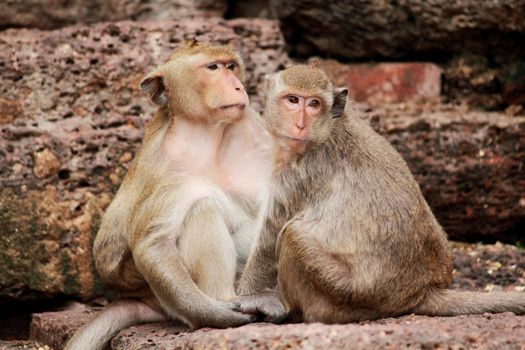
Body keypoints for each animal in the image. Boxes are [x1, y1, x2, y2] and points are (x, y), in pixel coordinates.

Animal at [65, 39, 270, 348]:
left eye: (232, 66)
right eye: (213, 67)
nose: (237, 87)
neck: (207, 134)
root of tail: (143, 299)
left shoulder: (253, 129)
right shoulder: (166, 171)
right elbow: (153, 245)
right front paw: (216, 316)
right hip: (155, 289)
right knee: (202, 208)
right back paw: (223, 301)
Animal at [235, 64, 524, 324]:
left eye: (314, 104)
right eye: (293, 100)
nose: (300, 124)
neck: (327, 131)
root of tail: (421, 291)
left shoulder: (299, 175)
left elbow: (269, 242)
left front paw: (245, 295)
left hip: (346, 295)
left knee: (293, 237)